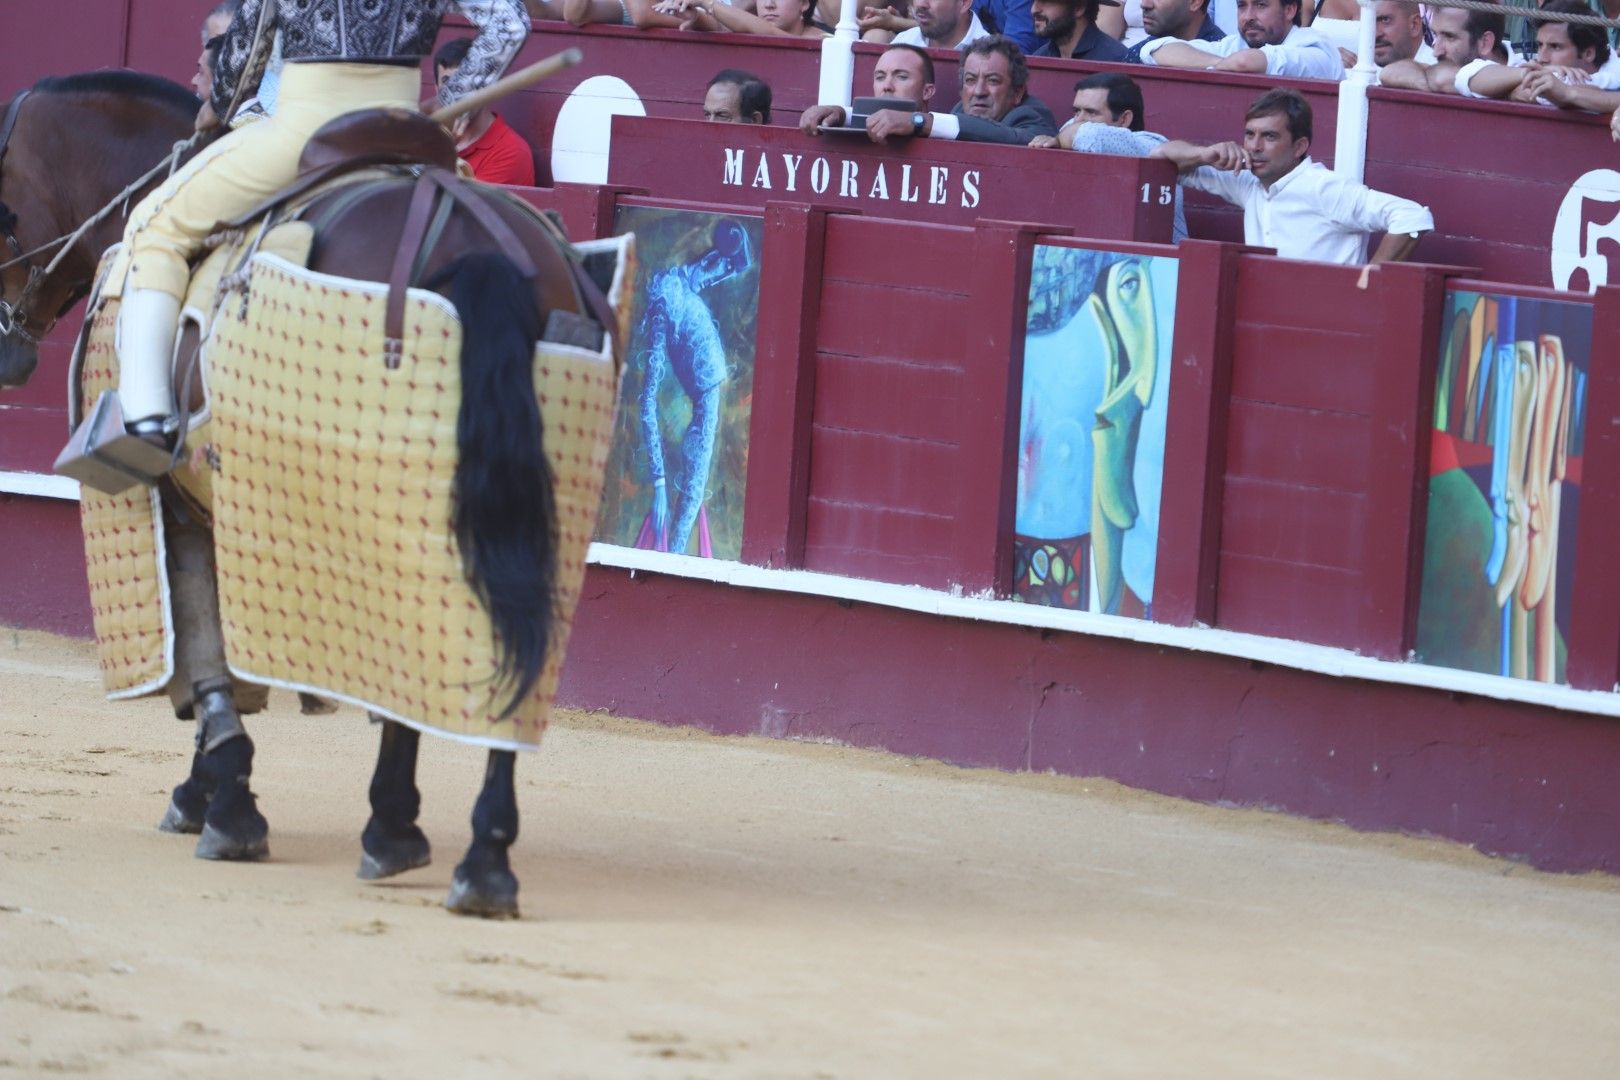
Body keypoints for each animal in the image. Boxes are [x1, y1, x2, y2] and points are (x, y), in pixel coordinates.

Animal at [0, 67, 622, 919]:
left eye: (1, 209)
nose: (5, 351)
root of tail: (468, 233)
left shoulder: (181, 501)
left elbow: (208, 650)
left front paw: (218, 804)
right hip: (525, 504)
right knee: (501, 645)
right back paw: (476, 859)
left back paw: (403, 835)